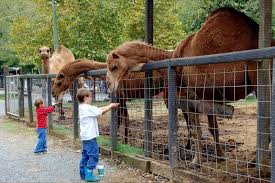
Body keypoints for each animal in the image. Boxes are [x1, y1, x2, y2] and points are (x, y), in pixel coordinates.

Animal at [106, 7, 272, 164]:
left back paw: (255, 161)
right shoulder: (207, 95)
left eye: (113, 66)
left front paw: (196, 161)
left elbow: (195, 129)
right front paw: (220, 156)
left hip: (258, 76)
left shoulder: (189, 95)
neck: (171, 58)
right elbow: (212, 128)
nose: (109, 86)